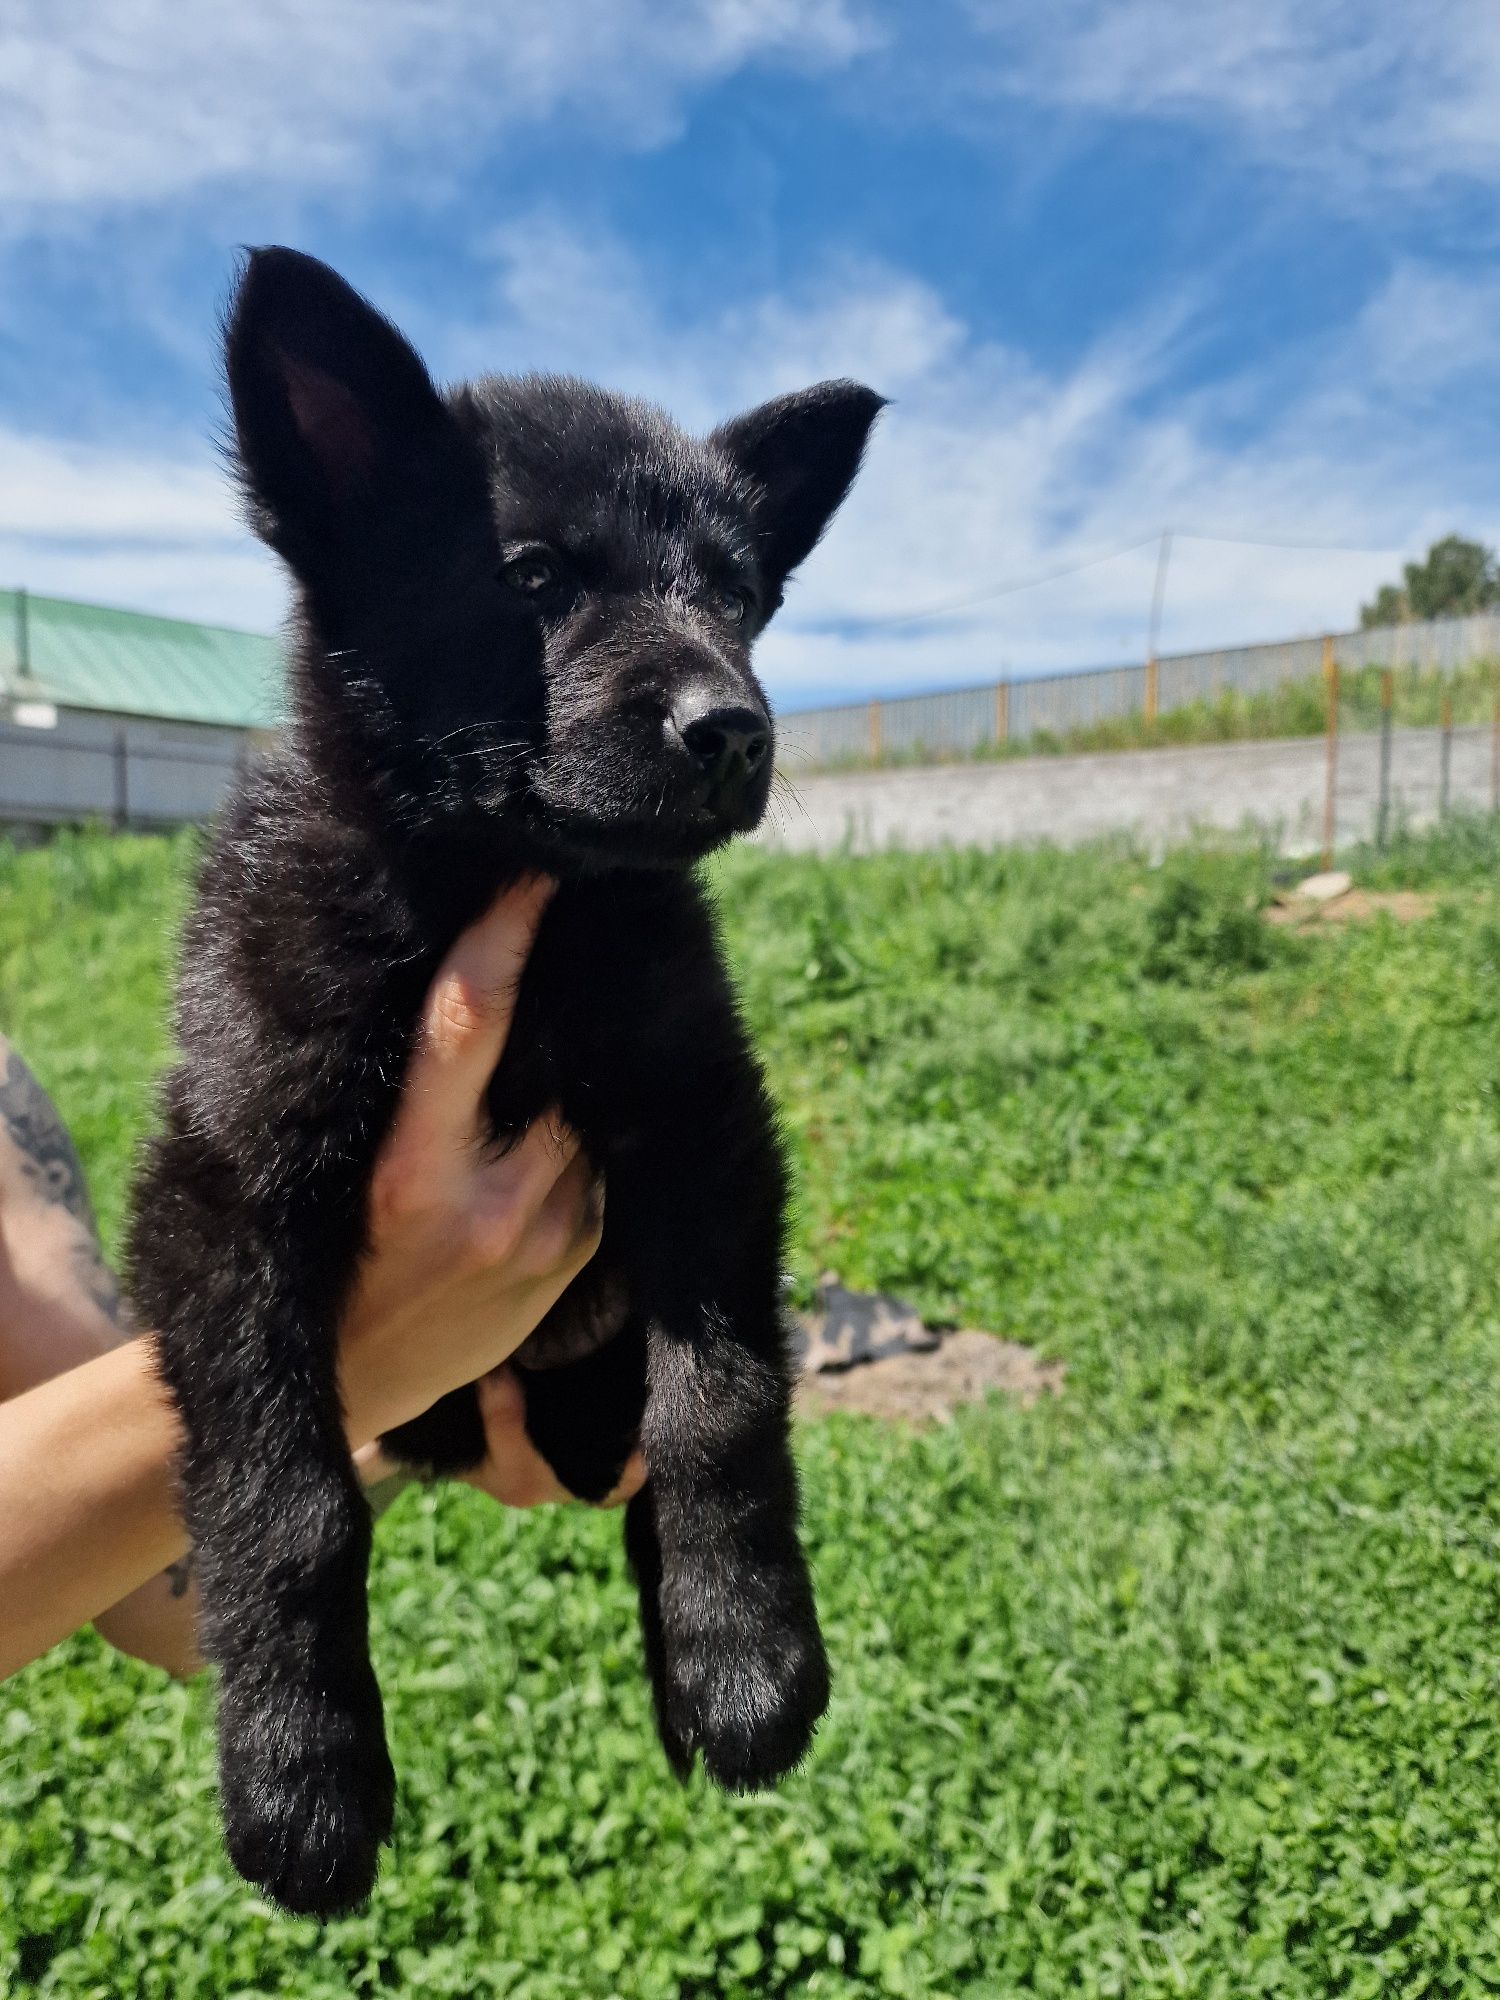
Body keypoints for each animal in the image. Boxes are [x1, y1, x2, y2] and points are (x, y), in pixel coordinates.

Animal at [129, 250, 888, 1920]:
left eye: (739, 600)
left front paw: (746, 1666)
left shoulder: (703, 1129)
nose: (733, 730)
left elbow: (719, 1407)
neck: (499, 883)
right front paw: (296, 1780)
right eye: (533, 578)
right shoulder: (228, 1181)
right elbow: (283, 1499)